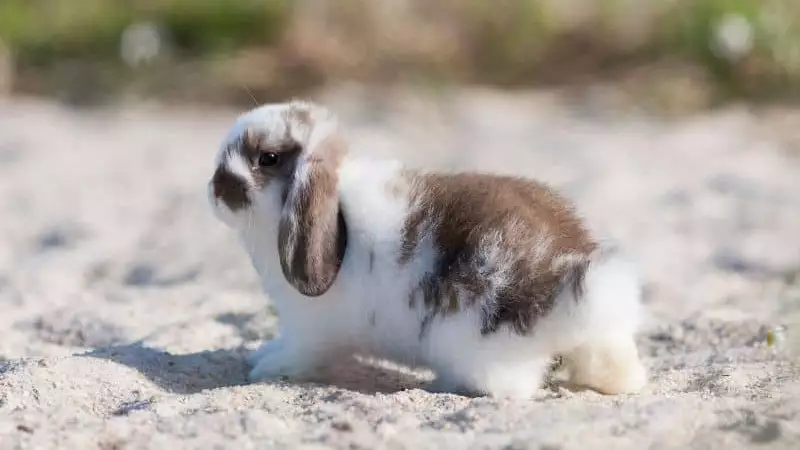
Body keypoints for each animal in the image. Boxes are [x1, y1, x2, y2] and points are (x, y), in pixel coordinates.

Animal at [207, 99, 648, 399]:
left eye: (268, 158)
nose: (214, 192)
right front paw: (259, 355)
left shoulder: (309, 329)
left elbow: (297, 355)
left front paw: (265, 368)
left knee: (510, 388)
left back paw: (443, 384)